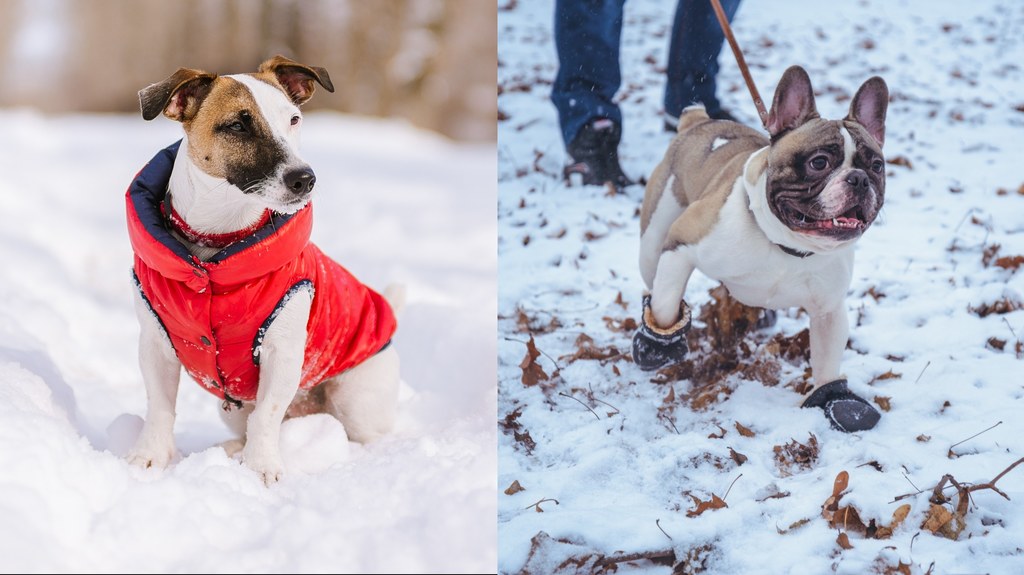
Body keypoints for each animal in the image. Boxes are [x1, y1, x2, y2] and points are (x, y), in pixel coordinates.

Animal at [121, 56, 401, 480]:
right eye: (237, 126)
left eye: (294, 119)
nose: (305, 179)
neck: (218, 242)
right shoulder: (155, 345)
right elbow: (160, 406)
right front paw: (149, 457)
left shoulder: (281, 352)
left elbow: (267, 415)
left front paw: (261, 468)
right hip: (234, 409)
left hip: (355, 398)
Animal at [630, 64, 888, 429]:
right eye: (819, 163)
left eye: (877, 166)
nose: (860, 178)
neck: (787, 245)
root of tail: (698, 122)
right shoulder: (683, 242)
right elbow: (666, 301)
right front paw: (660, 347)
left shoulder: (828, 309)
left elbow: (826, 360)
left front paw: (836, 401)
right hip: (653, 241)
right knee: (653, 278)